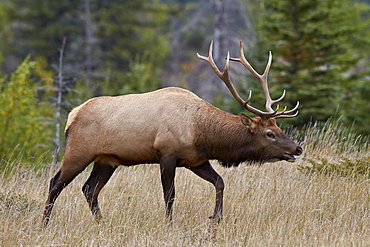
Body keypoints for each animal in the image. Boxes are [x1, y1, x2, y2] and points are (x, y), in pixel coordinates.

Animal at [42, 40, 304, 226]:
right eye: (269, 133)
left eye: (279, 128)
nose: (297, 148)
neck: (201, 132)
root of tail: (72, 115)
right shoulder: (166, 154)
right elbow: (170, 195)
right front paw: (169, 224)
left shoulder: (196, 160)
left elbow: (220, 182)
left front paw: (216, 217)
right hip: (79, 151)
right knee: (56, 183)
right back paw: (44, 223)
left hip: (107, 160)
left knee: (89, 189)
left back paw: (101, 223)